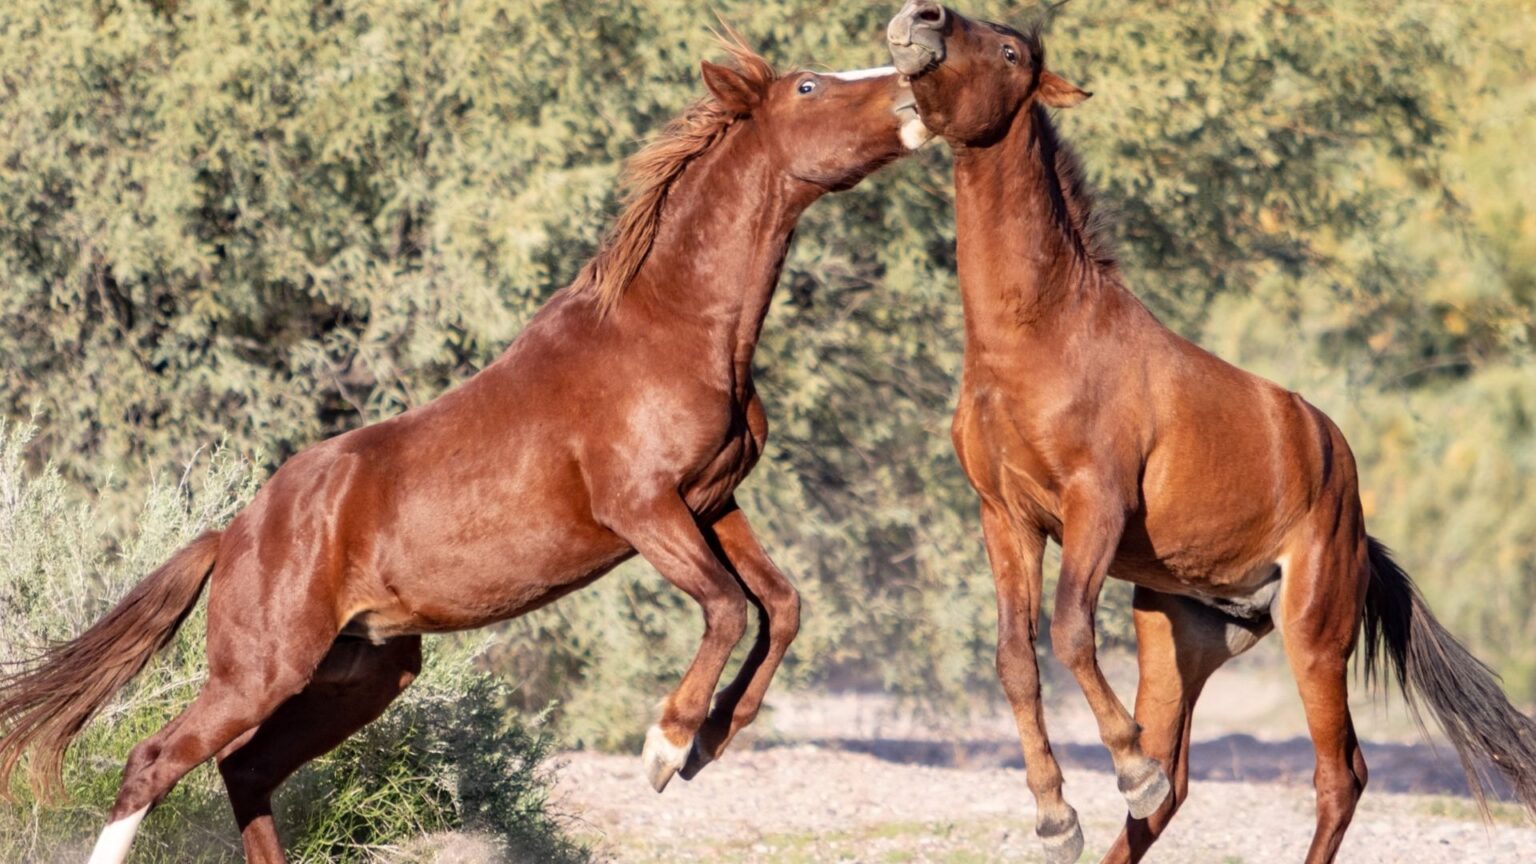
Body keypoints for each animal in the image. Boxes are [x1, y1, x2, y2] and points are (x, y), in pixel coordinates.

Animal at [0, 32, 932, 864]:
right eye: (809, 86)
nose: (912, 89)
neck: (668, 328)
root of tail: (232, 533)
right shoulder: (643, 511)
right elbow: (730, 607)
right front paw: (666, 748)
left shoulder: (713, 501)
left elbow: (781, 605)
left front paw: (709, 742)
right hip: (261, 670)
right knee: (155, 763)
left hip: (364, 673)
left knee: (248, 770)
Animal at [887, 3, 1536, 862]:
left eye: (1009, 50)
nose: (917, 18)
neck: (1040, 334)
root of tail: (1349, 497)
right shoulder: (1006, 518)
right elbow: (1015, 660)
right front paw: (1057, 817)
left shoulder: (1094, 507)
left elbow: (1068, 633)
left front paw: (1119, 774)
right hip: (1183, 640)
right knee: (1177, 785)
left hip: (1313, 631)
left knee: (1341, 775)